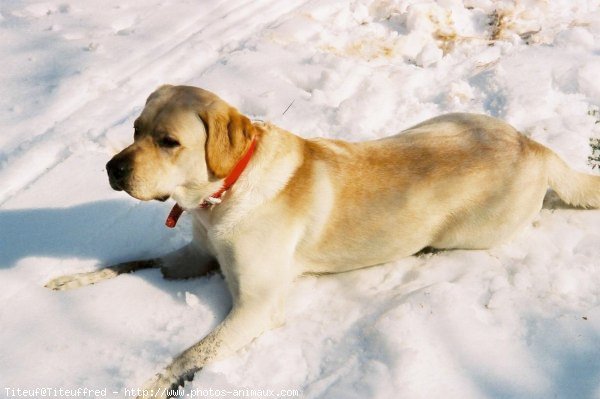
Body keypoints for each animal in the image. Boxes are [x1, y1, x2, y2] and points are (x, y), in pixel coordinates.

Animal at [45, 84, 600, 396]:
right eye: (135, 129)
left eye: (169, 142)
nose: (112, 168)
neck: (221, 196)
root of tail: (537, 146)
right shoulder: (191, 257)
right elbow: (129, 261)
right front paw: (68, 281)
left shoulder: (257, 307)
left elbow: (186, 357)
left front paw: (144, 387)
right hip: (442, 121)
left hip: (467, 230)